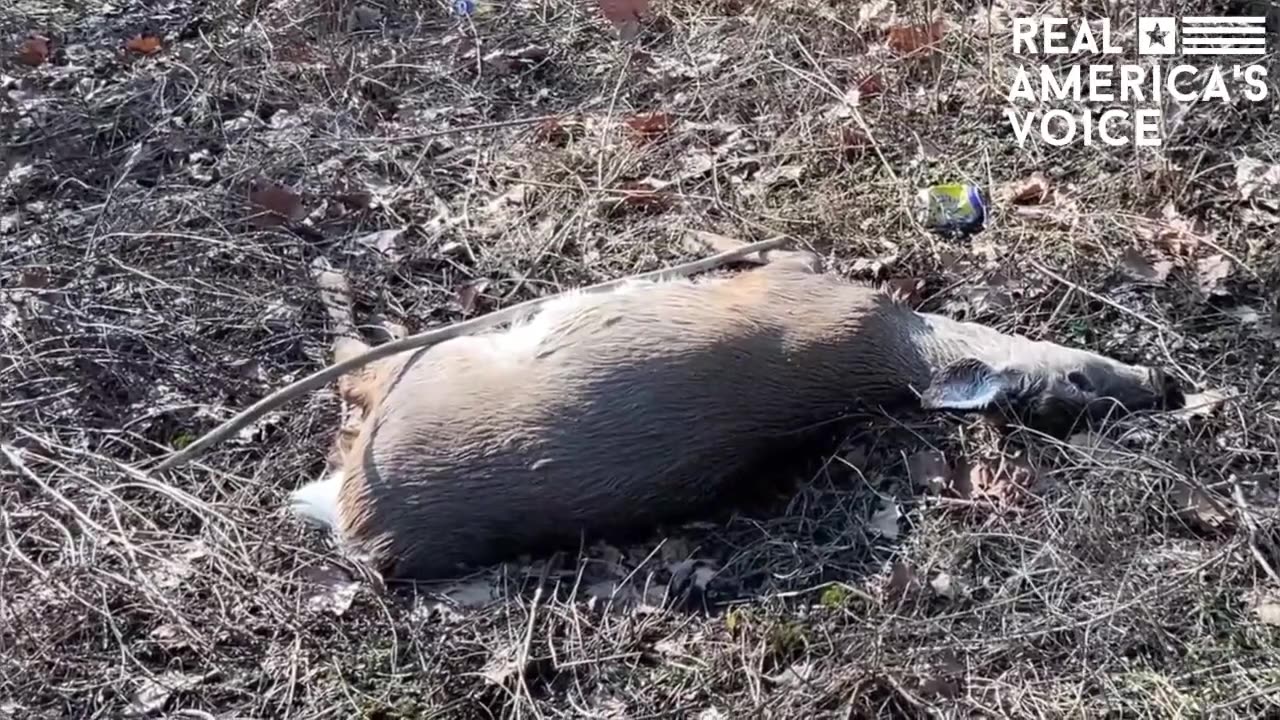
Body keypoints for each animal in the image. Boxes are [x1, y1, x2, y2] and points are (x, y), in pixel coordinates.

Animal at [275, 239, 1182, 576]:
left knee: (355, 365)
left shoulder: (800, 284)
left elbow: (772, 249)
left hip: (422, 381)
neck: (896, 350)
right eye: (1085, 384)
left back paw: (333, 277)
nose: (1156, 383)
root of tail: (350, 518)